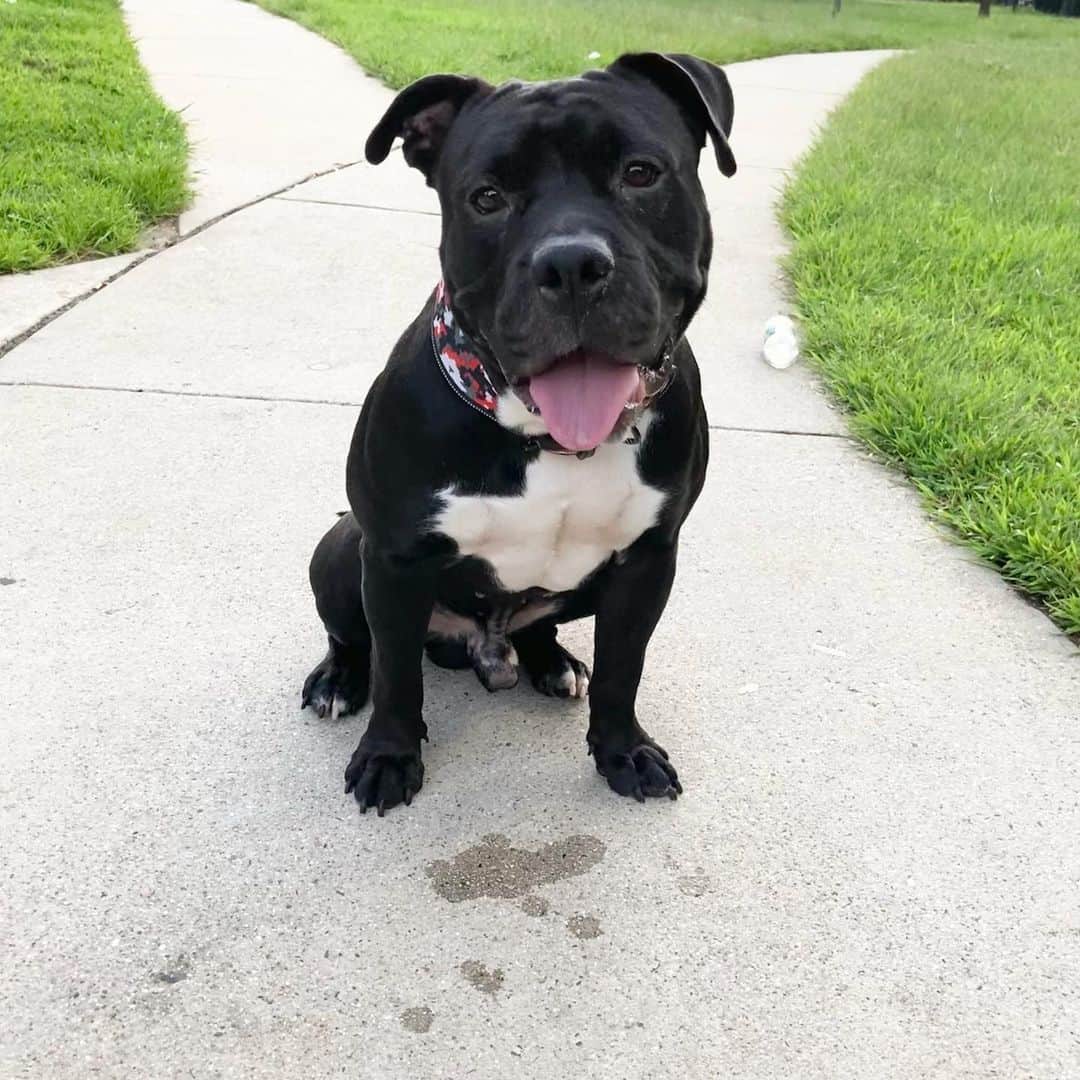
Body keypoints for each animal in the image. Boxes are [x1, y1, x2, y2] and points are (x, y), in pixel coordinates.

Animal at [304, 50, 734, 812]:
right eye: (487, 198)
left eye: (641, 172)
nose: (571, 264)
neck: (552, 442)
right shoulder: (393, 562)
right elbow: (395, 676)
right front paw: (388, 756)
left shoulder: (648, 561)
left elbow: (624, 667)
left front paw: (624, 751)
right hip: (342, 549)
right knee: (355, 639)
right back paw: (337, 678)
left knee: (548, 628)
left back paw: (552, 662)